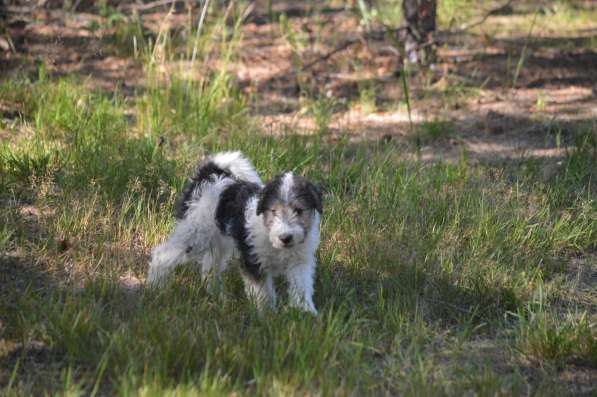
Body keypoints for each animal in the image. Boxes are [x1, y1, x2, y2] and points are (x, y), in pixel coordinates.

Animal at [146, 151, 322, 312]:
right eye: (273, 211)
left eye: (299, 210)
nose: (285, 237)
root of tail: (209, 176)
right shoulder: (253, 261)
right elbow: (264, 292)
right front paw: (268, 315)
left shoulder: (300, 262)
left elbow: (301, 287)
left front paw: (305, 312)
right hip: (195, 233)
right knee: (162, 254)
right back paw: (156, 287)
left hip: (217, 241)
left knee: (210, 268)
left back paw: (218, 296)